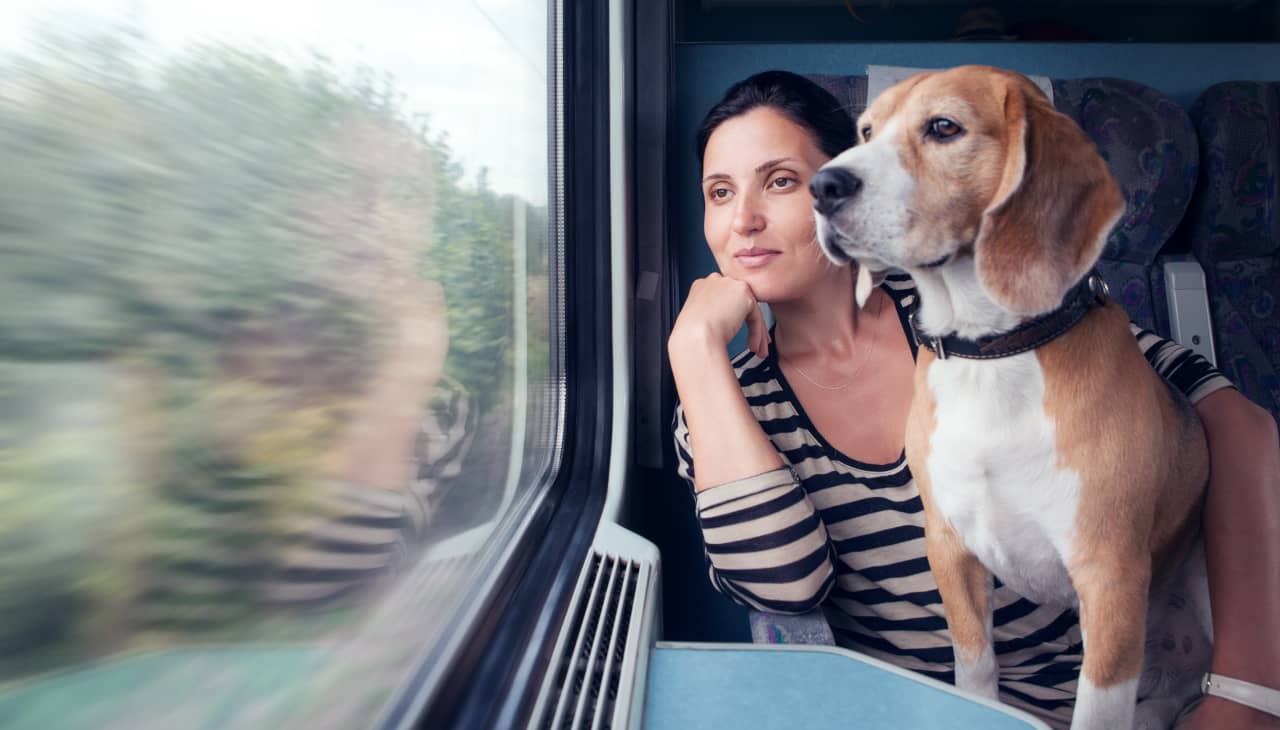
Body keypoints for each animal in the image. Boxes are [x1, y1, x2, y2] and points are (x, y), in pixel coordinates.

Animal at [808, 65, 1208, 722]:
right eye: (865, 130)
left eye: (944, 127)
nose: (822, 185)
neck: (991, 352)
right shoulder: (949, 545)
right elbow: (975, 669)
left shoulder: (1111, 578)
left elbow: (1098, 709)